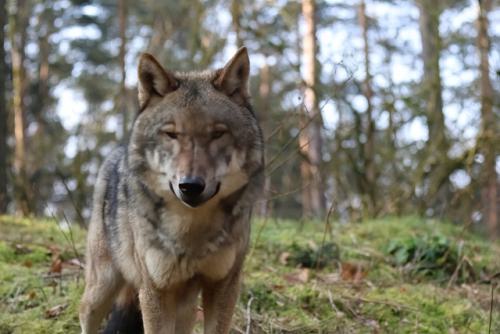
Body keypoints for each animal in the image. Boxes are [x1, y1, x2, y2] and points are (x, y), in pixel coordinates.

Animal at [79, 47, 266, 334]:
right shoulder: (156, 291)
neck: (192, 230)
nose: (190, 185)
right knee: (85, 312)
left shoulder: (223, 286)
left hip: (185, 308)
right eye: (172, 134)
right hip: (102, 286)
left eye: (217, 134)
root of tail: (117, 152)